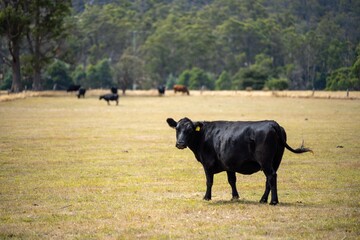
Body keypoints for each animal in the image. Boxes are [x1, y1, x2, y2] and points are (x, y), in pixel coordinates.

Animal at [167, 117, 310, 205]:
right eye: (177, 129)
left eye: (190, 130)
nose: (180, 143)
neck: (203, 136)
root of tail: (272, 123)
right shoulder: (229, 165)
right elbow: (232, 180)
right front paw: (235, 196)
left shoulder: (207, 164)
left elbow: (209, 182)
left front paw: (207, 197)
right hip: (275, 161)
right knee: (269, 180)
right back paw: (263, 199)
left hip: (266, 161)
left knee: (271, 176)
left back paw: (273, 201)